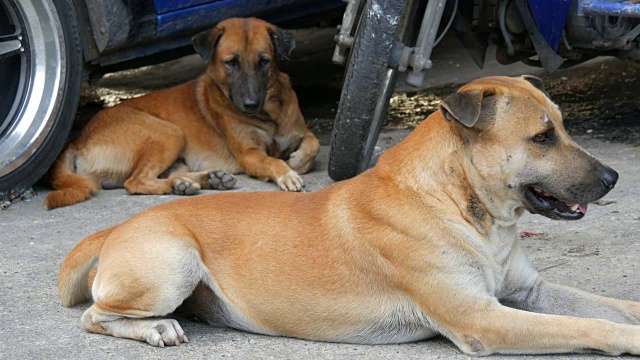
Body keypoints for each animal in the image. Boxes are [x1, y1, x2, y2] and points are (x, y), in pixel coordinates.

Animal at [43, 17, 318, 211]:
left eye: (264, 61)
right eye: (231, 62)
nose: (250, 104)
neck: (270, 112)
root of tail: (77, 140)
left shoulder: (298, 131)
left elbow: (312, 143)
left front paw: (297, 161)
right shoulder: (250, 155)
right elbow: (273, 161)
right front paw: (287, 172)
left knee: (163, 174)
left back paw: (201, 180)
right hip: (168, 132)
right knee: (135, 181)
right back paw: (182, 185)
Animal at [61, 75, 640, 354]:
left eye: (563, 125)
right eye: (542, 138)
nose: (613, 179)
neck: (459, 203)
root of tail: (118, 226)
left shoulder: (531, 294)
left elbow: (611, 306)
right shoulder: (483, 319)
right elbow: (591, 324)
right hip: (172, 265)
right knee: (95, 316)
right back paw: (156, 329)